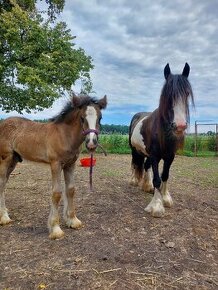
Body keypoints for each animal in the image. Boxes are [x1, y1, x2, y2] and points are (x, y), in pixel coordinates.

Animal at [0, 94, 107, 239]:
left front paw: (72, 220)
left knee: (4, 182)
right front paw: (55, 228)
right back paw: (4, 217)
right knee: (1, 183)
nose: (91, 144)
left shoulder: (70, 164)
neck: (64, 135)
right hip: (5, 158)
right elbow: (56, 193)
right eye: (82, 118)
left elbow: (71, 190)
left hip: (14, 160)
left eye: (100, 117)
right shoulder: (55, 164)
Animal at [129, 64, 194, 218]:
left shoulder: (169, 156)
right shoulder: (155, 156)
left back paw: (147, 186)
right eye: (168, 95)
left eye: (187, 93)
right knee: (134, 163)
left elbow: (165, 176)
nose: (180, 125)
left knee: (145, 166)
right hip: (134, 149)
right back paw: (134, 181)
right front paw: (157, 206)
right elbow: (157, 179)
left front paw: (165, 198)